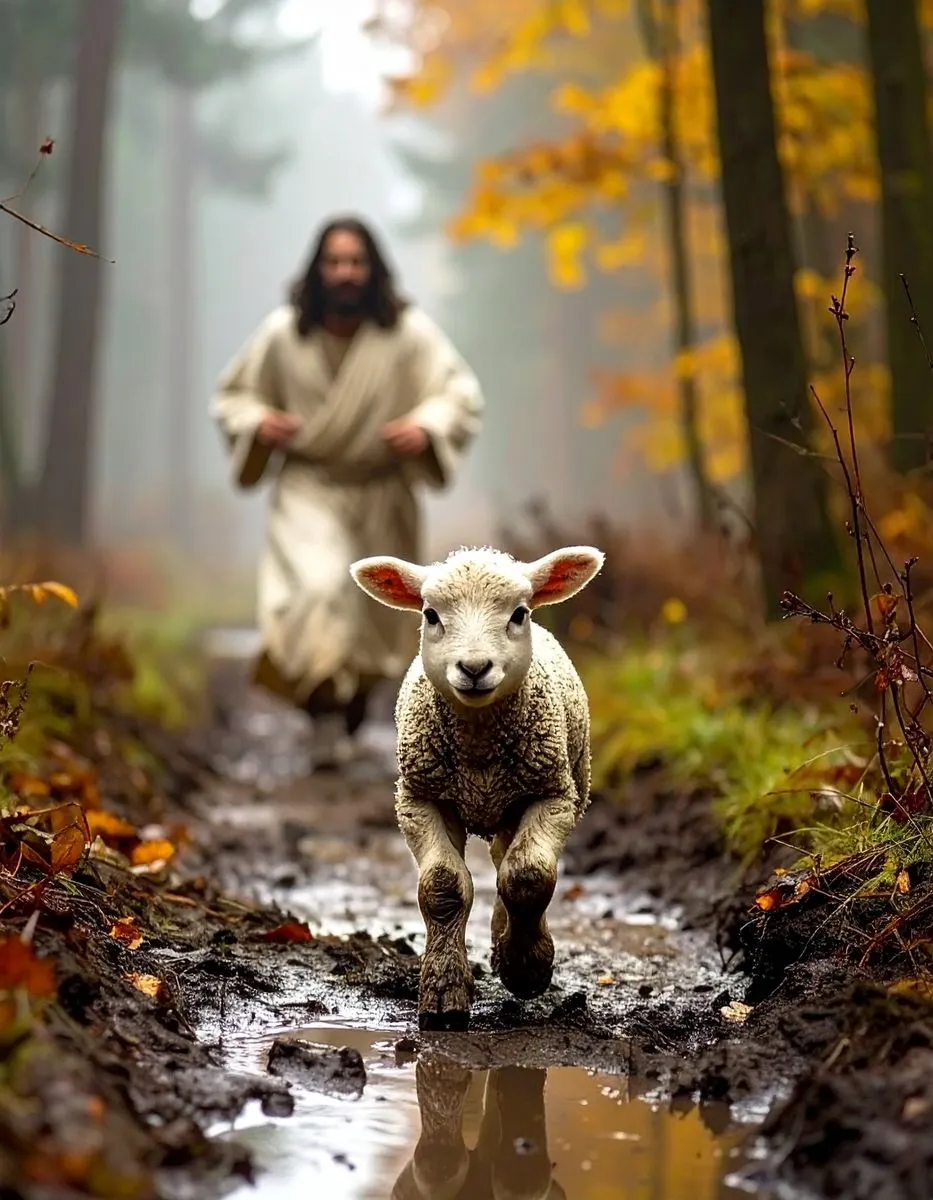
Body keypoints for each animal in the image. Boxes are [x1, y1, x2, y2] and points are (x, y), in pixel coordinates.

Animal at [349, 543, 605, 1030]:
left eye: (519, 613)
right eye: (430, 615)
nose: (473, 667)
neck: (479, 754)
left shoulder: (554, 796)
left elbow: (528, 876)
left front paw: (527, 968)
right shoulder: (420, 799)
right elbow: (444, 886)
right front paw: (445, 993)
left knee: (511, 862)